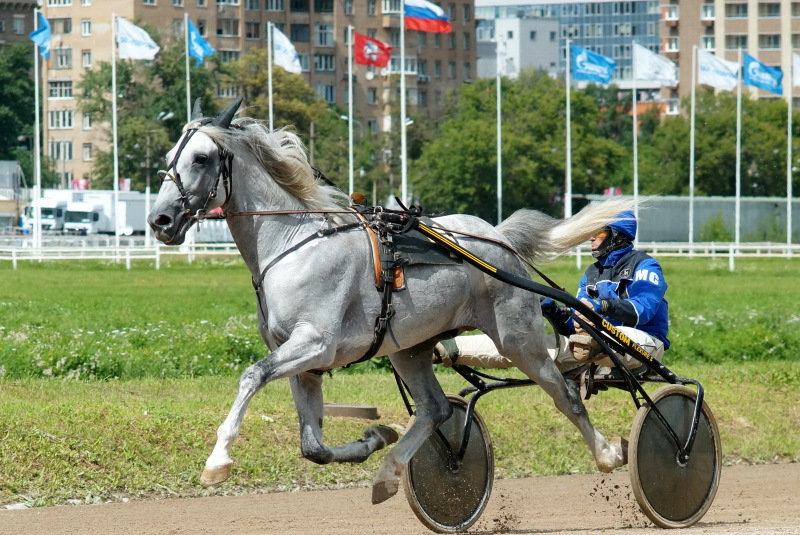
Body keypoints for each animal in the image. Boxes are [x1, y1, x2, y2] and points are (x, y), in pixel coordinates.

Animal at [147, 100, 636, 506]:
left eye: (201, 158)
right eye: (169, 158)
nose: (160, 220)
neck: (294, 243)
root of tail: (497, 236)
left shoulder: (315, 344)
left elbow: (251, 376)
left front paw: (218, 460)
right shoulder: (302, 362)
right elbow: (313, 447)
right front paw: (376, 436)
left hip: (516, 336)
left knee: (564, 393)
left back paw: (608, 453)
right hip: (409, 348)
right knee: (436, 408)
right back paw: (389, 471)